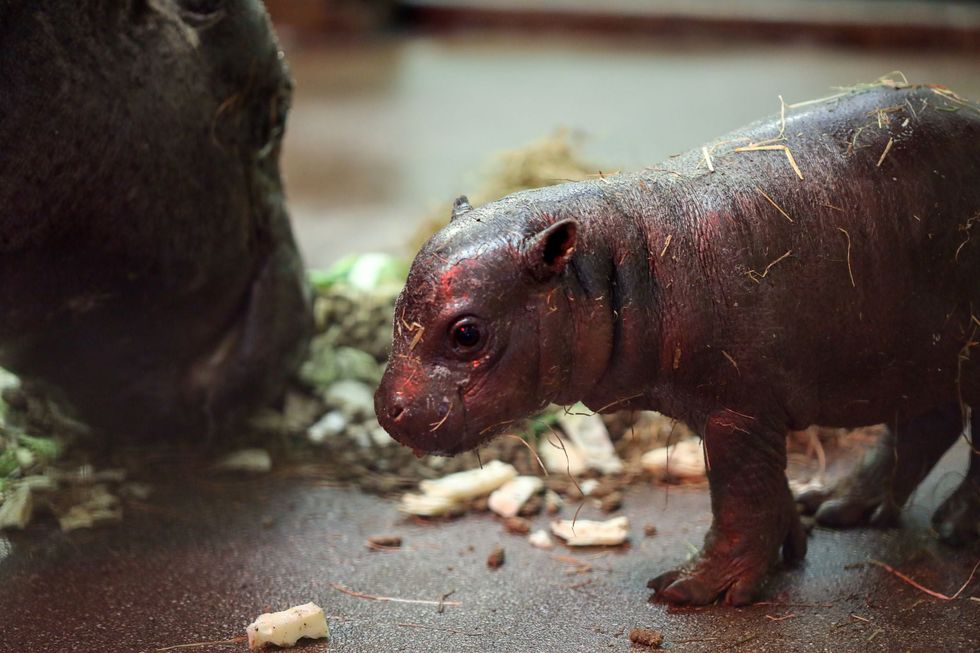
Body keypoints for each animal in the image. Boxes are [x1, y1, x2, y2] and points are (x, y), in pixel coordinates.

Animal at [376, 82, 980, 605]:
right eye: (397, 304)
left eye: (467, 333)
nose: (388, 410)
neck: (623, 259)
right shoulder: (734, 410)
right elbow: (768, 489)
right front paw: (792, 543)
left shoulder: (739, 411)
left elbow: (741, 496)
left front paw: (691, 589)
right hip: (919, 359)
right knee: (928, 424)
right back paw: (837, 505)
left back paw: (952, 528)